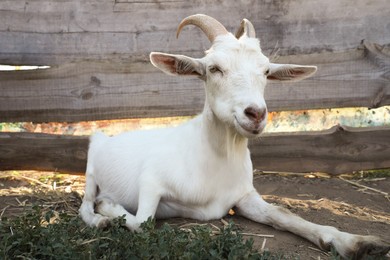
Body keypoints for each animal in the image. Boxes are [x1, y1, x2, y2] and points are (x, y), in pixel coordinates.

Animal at [79, 14, 386, 260]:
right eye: (214, 68)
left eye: (266, 71)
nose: (256, 113)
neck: (215, 161)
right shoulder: (151, 181)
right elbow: (143, 223)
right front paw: (109, 206)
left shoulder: (244, 196)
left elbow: (283, 214)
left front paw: (357, 242)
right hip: (91, 171)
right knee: (85, 204)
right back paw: (99, 218)